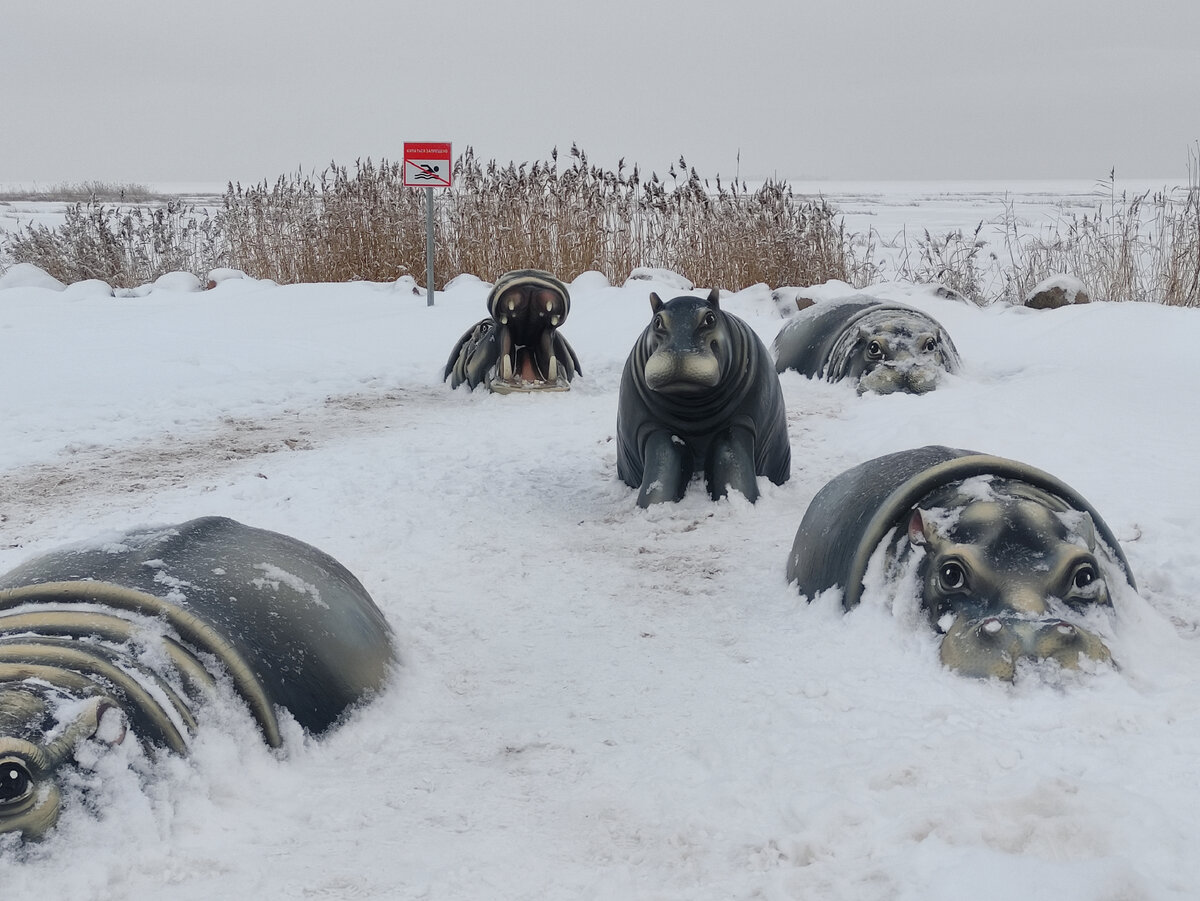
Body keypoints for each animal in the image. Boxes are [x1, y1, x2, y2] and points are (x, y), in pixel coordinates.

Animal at [614, 290, 792, 508]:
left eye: (710, 318)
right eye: (657, 321)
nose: (680, 353)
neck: (693, 408)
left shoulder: (740, 422)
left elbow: (732, 465)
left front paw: (738, 500)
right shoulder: (653, 428)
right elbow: (663, 467)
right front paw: (654, 506)